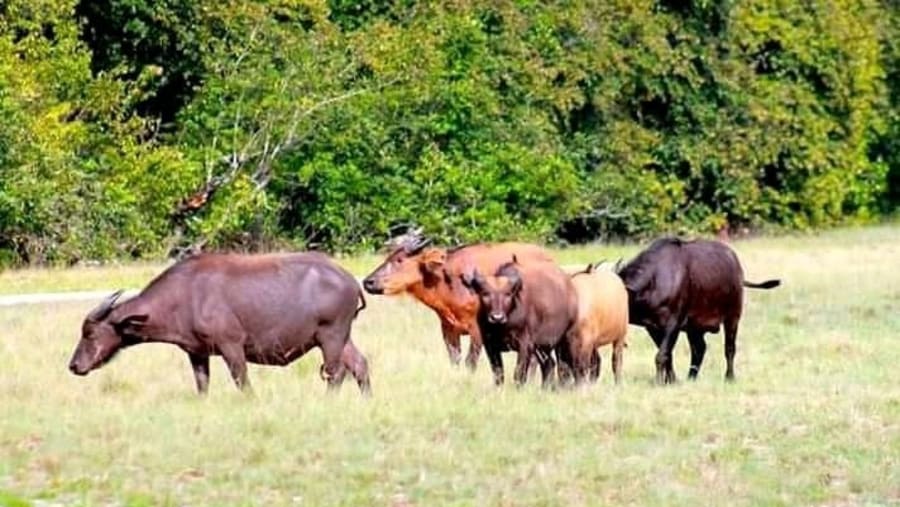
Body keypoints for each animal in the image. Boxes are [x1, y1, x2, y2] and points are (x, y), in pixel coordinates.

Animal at [68, 252, 371, 394]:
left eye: (90, 333)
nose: (74, 365)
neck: (185, 295)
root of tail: (351, 281)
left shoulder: (231, 347)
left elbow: (242, 382)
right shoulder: (197, 353)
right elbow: (202, 386)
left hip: (330, 337)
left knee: (336, 373)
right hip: (340, 338)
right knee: (359, 365)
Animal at [617, 238, 780, 384]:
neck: (654, 282)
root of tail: (738, 270)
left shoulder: (673, 324)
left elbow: (662, 355)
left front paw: (659, 382)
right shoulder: (652, 327)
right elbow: (668, 355)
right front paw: (671, 381)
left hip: (733, 316)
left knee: (729, 348)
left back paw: (729, 377)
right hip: (694, 328)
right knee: (699, 349)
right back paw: (691, 377)